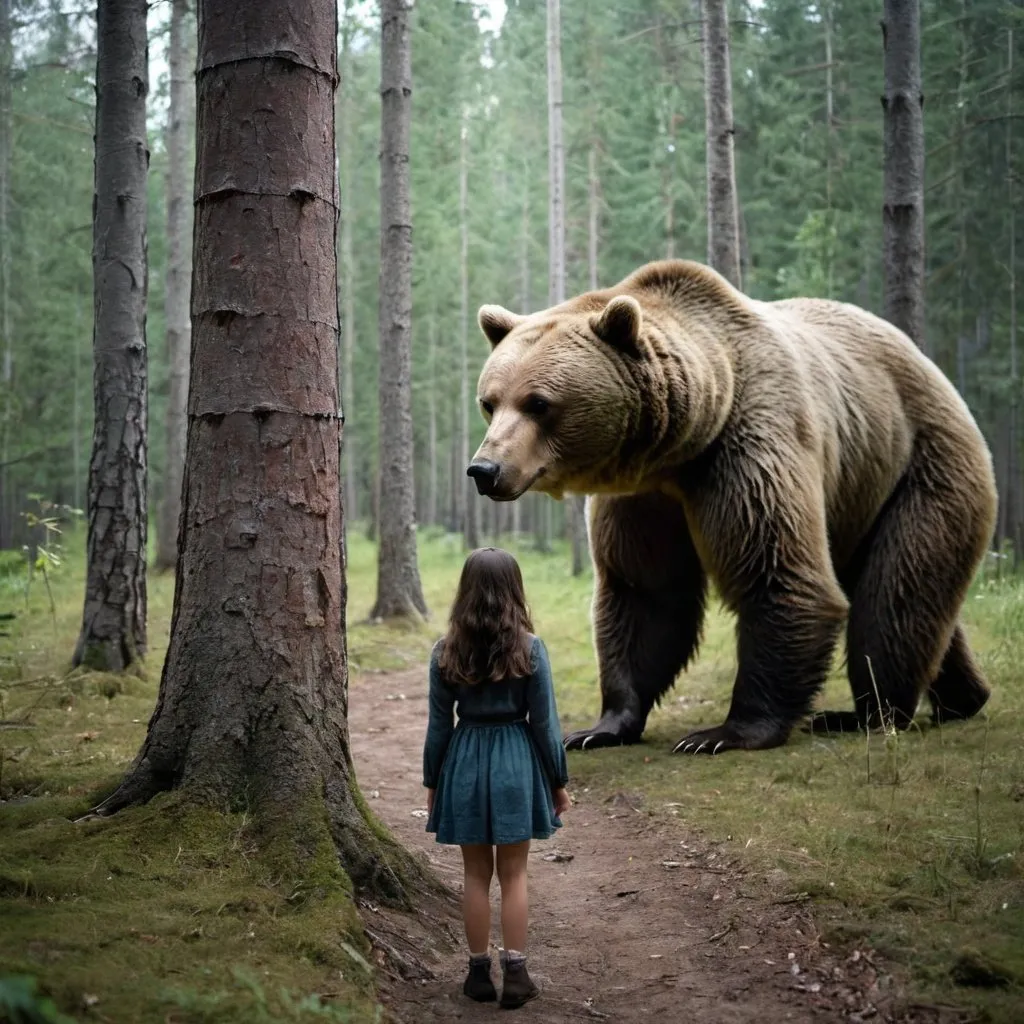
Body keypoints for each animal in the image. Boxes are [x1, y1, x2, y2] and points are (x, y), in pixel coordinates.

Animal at [468, 256, 995, 753]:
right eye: (490, 402)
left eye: (539, 403)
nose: (485, 469)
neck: (681, 447)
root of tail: (931, 368)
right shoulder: (643, 498)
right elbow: (645, 592)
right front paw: (601, 726)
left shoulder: (748, 450)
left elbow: (776, 571)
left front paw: (722, 733)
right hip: (863, 498)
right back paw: (965, 696)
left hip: (921, 466)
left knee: (894, 596)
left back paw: (867, 713)